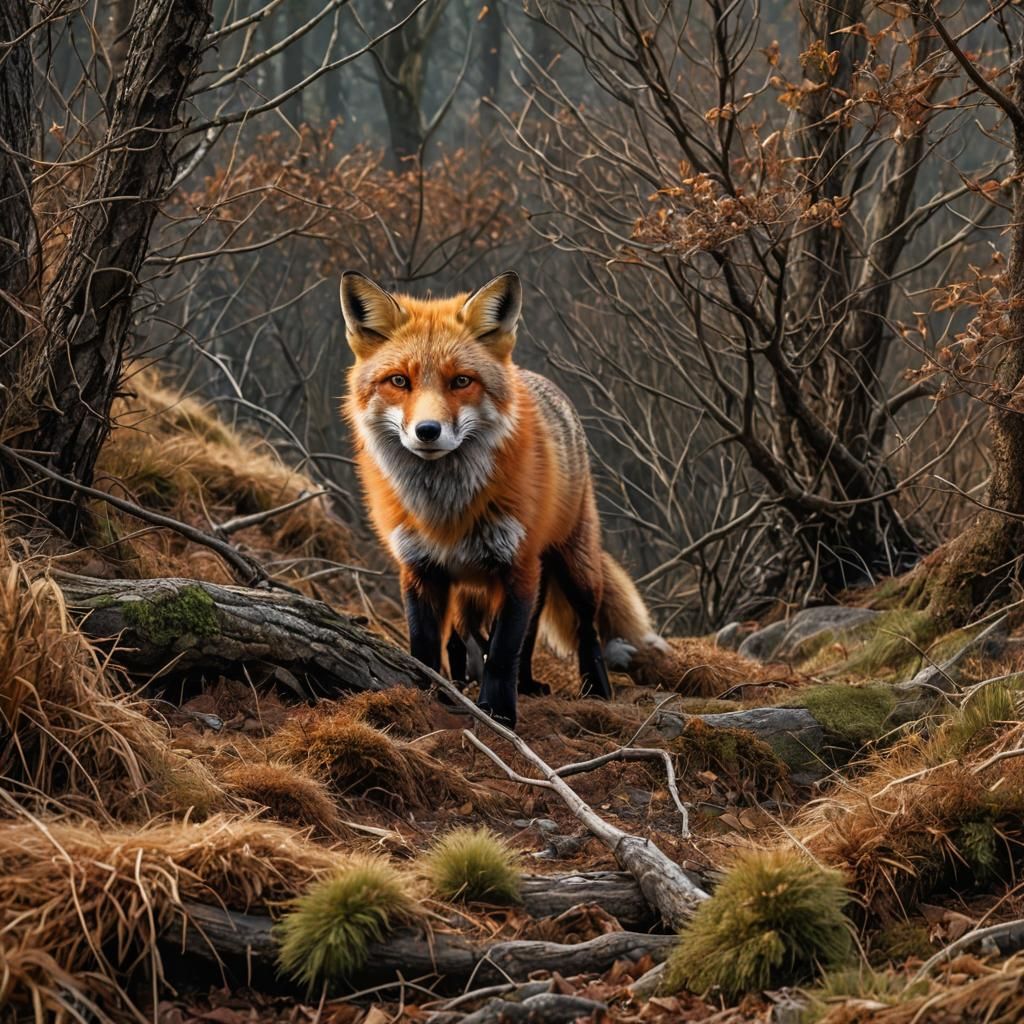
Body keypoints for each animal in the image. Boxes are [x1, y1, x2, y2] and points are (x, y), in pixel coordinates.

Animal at [341, 269, 666, 728]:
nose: (427, 431)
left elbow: (501, 651)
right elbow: (425, 647)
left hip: (573, 564)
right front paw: (427, 695)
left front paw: (498, 713)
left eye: (461, 380)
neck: (445, 509)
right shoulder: (420, 568)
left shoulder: (517, 563)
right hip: (493, 583)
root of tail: (540, 380)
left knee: (584, 628)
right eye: (399, 381)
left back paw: (594, 688)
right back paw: (517, 683)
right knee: (503, 637)